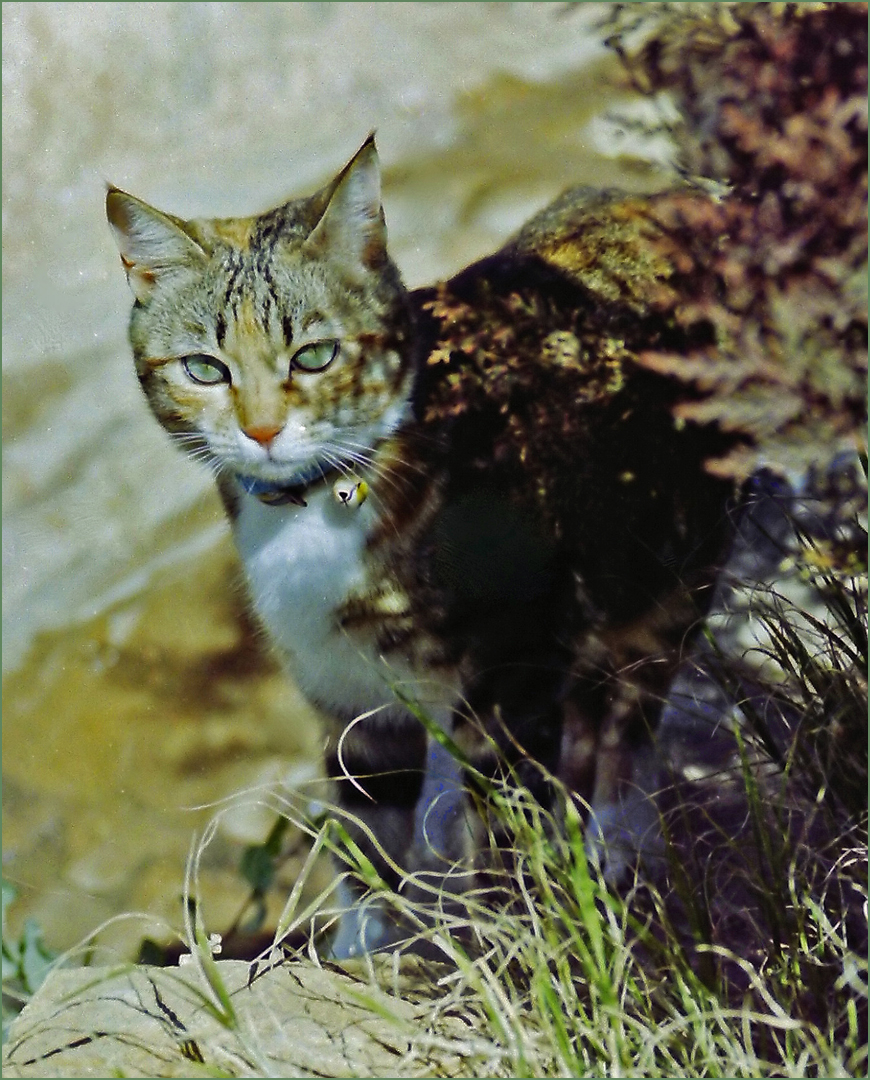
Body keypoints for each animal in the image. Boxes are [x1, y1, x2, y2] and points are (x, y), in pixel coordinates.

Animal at [105, 139, 738, 959]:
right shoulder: (346, 694)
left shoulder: (511, 671)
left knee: (633, 710)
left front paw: (512, 938)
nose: (263, 429)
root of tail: (657, 198)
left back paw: (618, 837)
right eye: (205, 369)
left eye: (314, 356)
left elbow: (502, 827)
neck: (317, 509)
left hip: (668, 565)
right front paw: (362, 950)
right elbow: (366, 830)